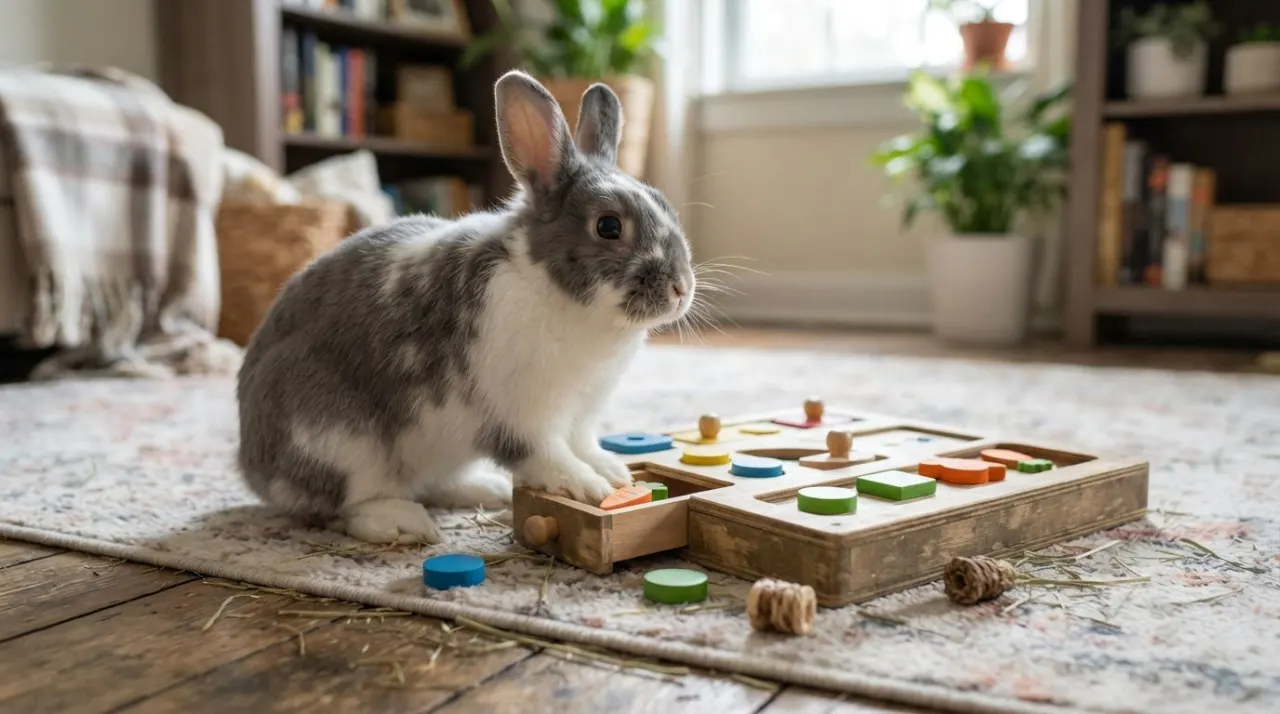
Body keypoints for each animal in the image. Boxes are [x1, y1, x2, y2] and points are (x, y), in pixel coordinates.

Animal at [235, 70, 696, 545]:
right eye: (608, 226)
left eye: (664, 204)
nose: (681, 288)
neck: (552, 288)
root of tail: (255, 469)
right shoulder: (521, 415)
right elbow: (547, 456)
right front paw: (588, 486)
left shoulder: (582, 413)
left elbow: (584, 443)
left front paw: (613, 470)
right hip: (337, 441)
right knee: (346, 507)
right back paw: (403, 522)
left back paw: (483, 489)